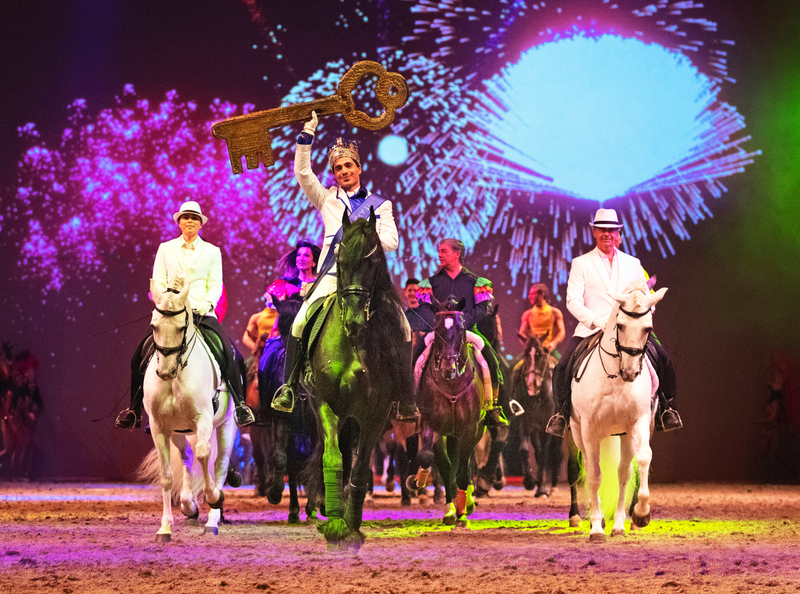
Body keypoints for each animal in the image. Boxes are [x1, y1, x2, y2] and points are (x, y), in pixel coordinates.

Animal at [138, 279, 238, 543]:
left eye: (182, 327)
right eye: (154, 326)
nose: (165, 372)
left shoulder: (203, 419)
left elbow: (205, 455)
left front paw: (214, 498)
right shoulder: (159, 426)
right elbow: (166, 475)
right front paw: (164, 528)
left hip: (225, 425)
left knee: (218, 463)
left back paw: (212, 519)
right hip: (178, 432)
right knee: (187, 458)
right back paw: (188, 504)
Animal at [303, 209, 414, 551]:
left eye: (374, 261)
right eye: (340, 260)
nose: (353, 319)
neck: (352, 343)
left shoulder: (375, 415)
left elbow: (362, 467)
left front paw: (350, 524)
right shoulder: (325, 405)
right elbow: (334, 459)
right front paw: (335, 524)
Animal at [407, 295, 486, 526]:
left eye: (460, 329)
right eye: (437, 327)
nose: (447, 368)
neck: (451, 385)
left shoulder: (470, 428)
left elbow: (463, 470)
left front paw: (463, 511)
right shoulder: (432, 423)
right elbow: (432, 459)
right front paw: (418, 481)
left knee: (466, 465)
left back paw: (466, 504)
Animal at [512, 335, 563, 497]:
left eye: (540, 355)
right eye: (525, 354)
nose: (531, 384)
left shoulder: (548, 426)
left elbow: (545, 454)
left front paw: (542, 489)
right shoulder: (524, 423)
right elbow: (524, 450)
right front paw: (529, 482)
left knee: (557, 453)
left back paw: (553, 486)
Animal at [570, 280, 667, 541]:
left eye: (648, 328)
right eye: (620, 325)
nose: (630, 372)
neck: (615, 377)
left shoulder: (639, 422)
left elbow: (642, 460)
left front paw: (641, 515)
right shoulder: (589, 429)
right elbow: (594, 475)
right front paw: (595, 528)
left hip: (625, 435)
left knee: (623, 472)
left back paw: (620, 525)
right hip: (577, 432)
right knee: (589, 469)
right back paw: (601, 520)